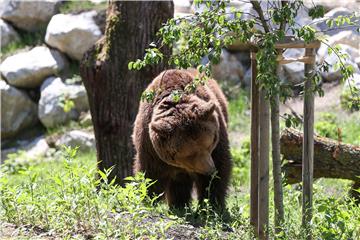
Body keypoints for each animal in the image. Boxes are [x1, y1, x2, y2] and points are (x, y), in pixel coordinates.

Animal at [134, 68, 232, 209]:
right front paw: (147, 200)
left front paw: (213, 205)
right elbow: (150, 176)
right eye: (190, 154)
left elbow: (221, 167)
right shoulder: (150, 147)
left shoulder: (218, 135)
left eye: (210, 144)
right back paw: (178, 205)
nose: (209, 170)